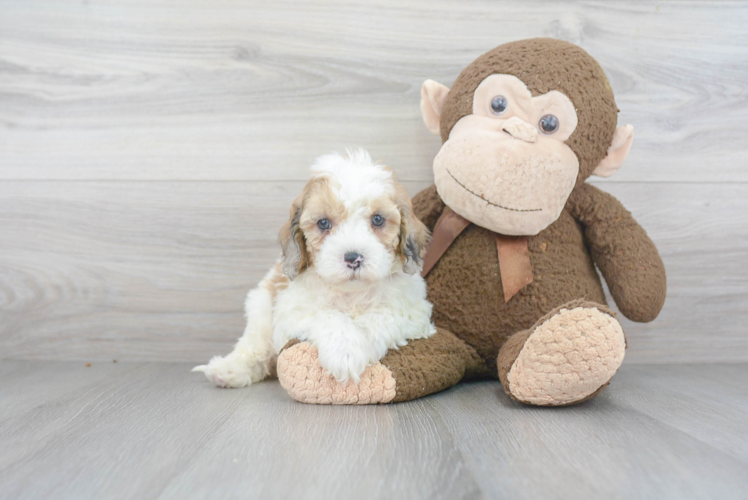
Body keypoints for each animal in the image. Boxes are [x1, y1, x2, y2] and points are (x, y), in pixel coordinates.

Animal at [196, 148, 436, 386]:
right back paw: (228, 370)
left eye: (377, 219)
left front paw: (362, 345)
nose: (353, 258)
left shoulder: (413, 311)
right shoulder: (292, 310)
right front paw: (345, 351)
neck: (351, 294)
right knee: (255, 347)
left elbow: (383, 315)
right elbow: (327, 315)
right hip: (261, 306)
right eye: (323, 223)